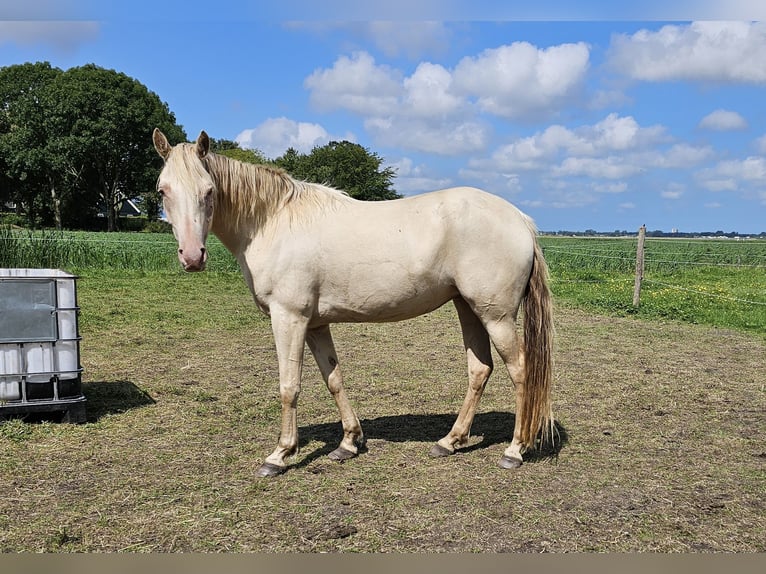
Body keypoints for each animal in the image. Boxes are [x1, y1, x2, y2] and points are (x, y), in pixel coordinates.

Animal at [153, 128, 556, 480]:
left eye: (208, 190)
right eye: (162, 191)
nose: (192, 256)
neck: (272, 221)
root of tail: (520, 220)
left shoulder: (289, 318)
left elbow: (289, 386)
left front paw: (280, 455)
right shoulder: (315, 324)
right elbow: (333, 378)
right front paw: (348, 443)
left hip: (496, 316)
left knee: (521, 371)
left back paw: (515, 450)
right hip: (468, 308)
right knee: (480, 370)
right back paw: (450, 441)